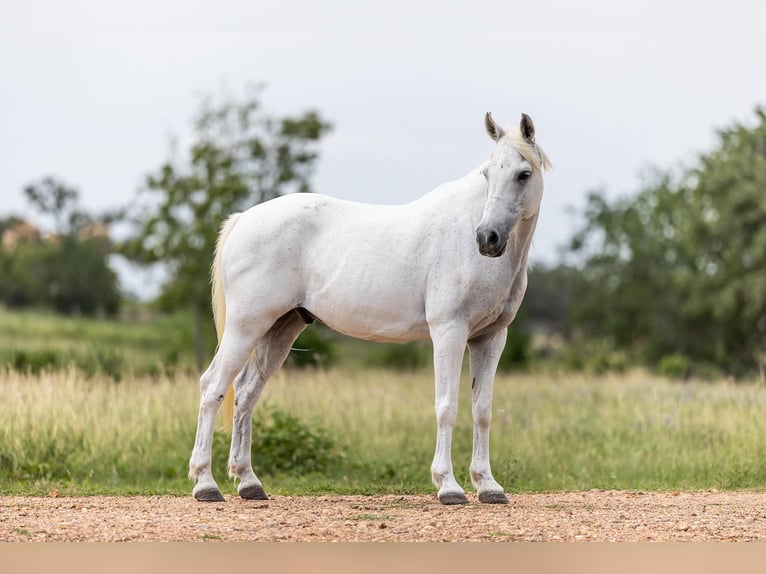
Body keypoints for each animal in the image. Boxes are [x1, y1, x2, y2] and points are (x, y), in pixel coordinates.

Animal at [189, 112, 552, 505]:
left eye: (523, 174)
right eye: (487, 173)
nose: (487, 239)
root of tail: (243, 218)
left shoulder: (490, 338)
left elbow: (482, 411)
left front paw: (488, 486)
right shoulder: (449, 332)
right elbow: (447, 407)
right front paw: (449, 486)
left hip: (281, 328)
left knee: (246, 393)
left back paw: (249, 483)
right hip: (246, 326)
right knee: (213, 387)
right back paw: (205, 484)